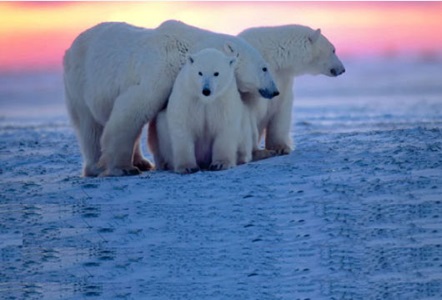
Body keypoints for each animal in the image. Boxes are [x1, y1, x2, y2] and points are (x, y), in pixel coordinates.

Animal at [64, 21, 278, 177]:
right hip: (80, 83)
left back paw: (142, 162)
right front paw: (123, 168)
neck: (185, 48)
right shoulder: (160, 72)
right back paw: (97, 167)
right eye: (264, 68)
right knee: (90, 126)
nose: (275, 91)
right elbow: (131, 111)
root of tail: (69, 49)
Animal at [238, 24, 346, 156]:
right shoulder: (252, 79)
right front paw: (259, 152)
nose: (342, 69)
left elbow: (281, 109)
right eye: (333, 50)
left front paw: (280, 147)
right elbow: (249, 111)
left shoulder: (282, 79)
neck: (274, 57)